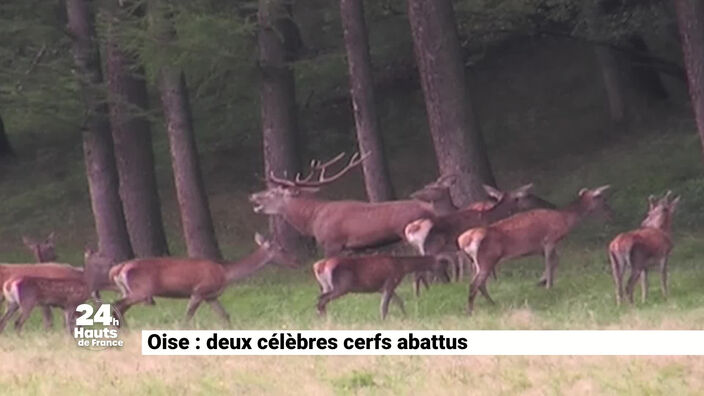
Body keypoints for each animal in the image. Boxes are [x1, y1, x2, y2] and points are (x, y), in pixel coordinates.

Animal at [108, 234, 296, 324]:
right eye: (281, 248)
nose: (295, 261)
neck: (225, 272)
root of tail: (117, 269)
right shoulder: (199, 290)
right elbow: (187, 318)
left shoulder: (211, 296)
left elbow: (225, 316)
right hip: (141, 290)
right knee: (115, 306)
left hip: (131, 291)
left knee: (119, 308)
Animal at [314, 254, 452, 322]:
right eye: (443, 267)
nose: (448, 280)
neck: (403, 266)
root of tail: (319, 266)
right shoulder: (390, 282)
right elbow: (384, 307)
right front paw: (383, 321)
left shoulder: (383, 287)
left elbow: (399, 302)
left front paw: (406, 317)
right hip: (342, 286)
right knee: (321, 299)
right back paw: (324, 319)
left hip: (327, 286)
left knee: (321, 300)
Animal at [456, 186, 612, 316]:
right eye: (603, 199)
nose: (610, 210)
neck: (565, 220)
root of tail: (463, 240)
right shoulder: (550, 239)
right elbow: (550, 262)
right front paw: (548, 286)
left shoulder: (540, 247)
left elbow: (556, 260)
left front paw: (542, 281)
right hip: (487, 259)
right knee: (474, 284)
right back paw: (470, 311)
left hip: (475, 262)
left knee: (479, 284)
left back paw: (491, 303)